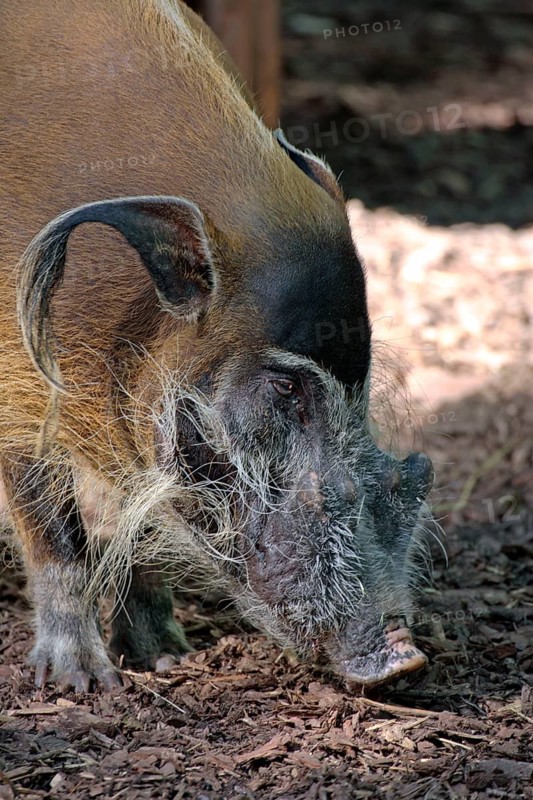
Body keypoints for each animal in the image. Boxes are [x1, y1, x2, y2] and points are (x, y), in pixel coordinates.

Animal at [0, 0, 434, 691]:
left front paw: (166, 657)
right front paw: (84, 682)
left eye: (361, 382)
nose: (403, 657)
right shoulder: (19, 381)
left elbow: (134, 518)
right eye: (285, 384)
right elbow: (54, 531)